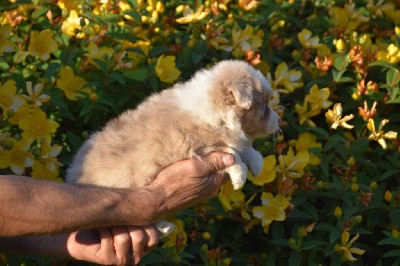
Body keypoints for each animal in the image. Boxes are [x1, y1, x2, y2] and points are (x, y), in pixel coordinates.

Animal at [65, 59, 280, 235]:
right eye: (263, 106)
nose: (279, 120)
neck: (212, 111)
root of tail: (73, 176)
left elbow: (243, 147)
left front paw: (257, 164)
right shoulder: (195, 149)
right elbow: (232, 152)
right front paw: (240, 177)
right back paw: (165, 227)